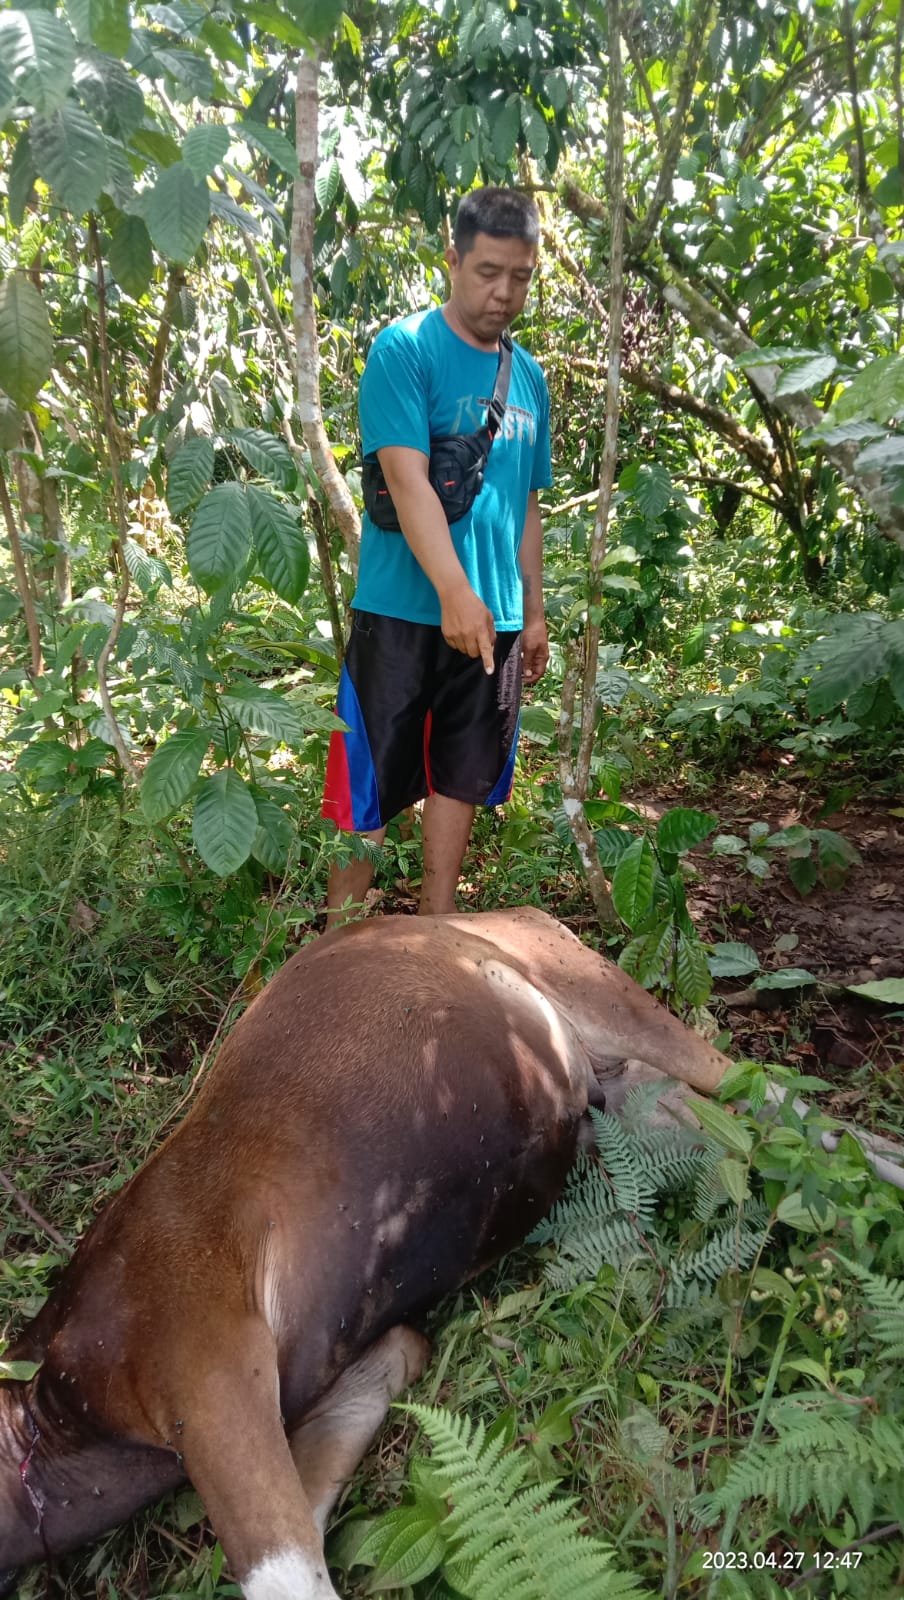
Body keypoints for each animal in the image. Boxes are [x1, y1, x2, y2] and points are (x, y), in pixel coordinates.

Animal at [0, 915, 726, 1600]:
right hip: (631, 1103)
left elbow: (283, 1577)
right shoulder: (355, 1367)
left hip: (591, 988)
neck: (56, 1412)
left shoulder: (204, 1363)